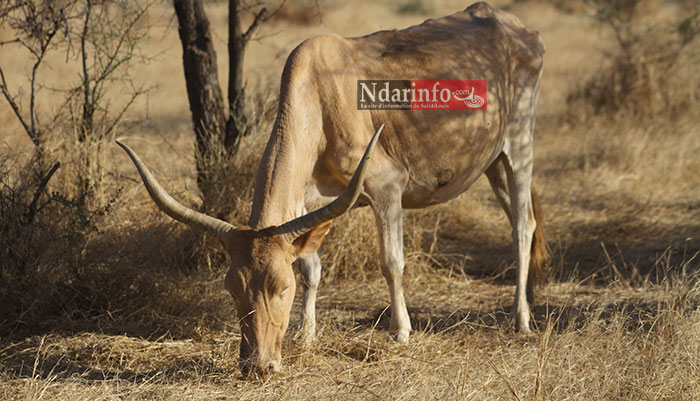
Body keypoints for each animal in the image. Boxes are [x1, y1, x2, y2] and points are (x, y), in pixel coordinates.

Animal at [117, 1, 548, 376]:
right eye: (231, 288)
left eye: (281, 287)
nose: (257, 365)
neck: (321, 101)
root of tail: (518, 29)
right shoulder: (308, 206)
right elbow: (312, 268)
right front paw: (306, 336)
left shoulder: (387, 188)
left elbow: (391, 261)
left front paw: (401, 331)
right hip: (492, 161)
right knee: (520, 219)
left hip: (519, 143)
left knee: (522, 226)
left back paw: (521, 319)